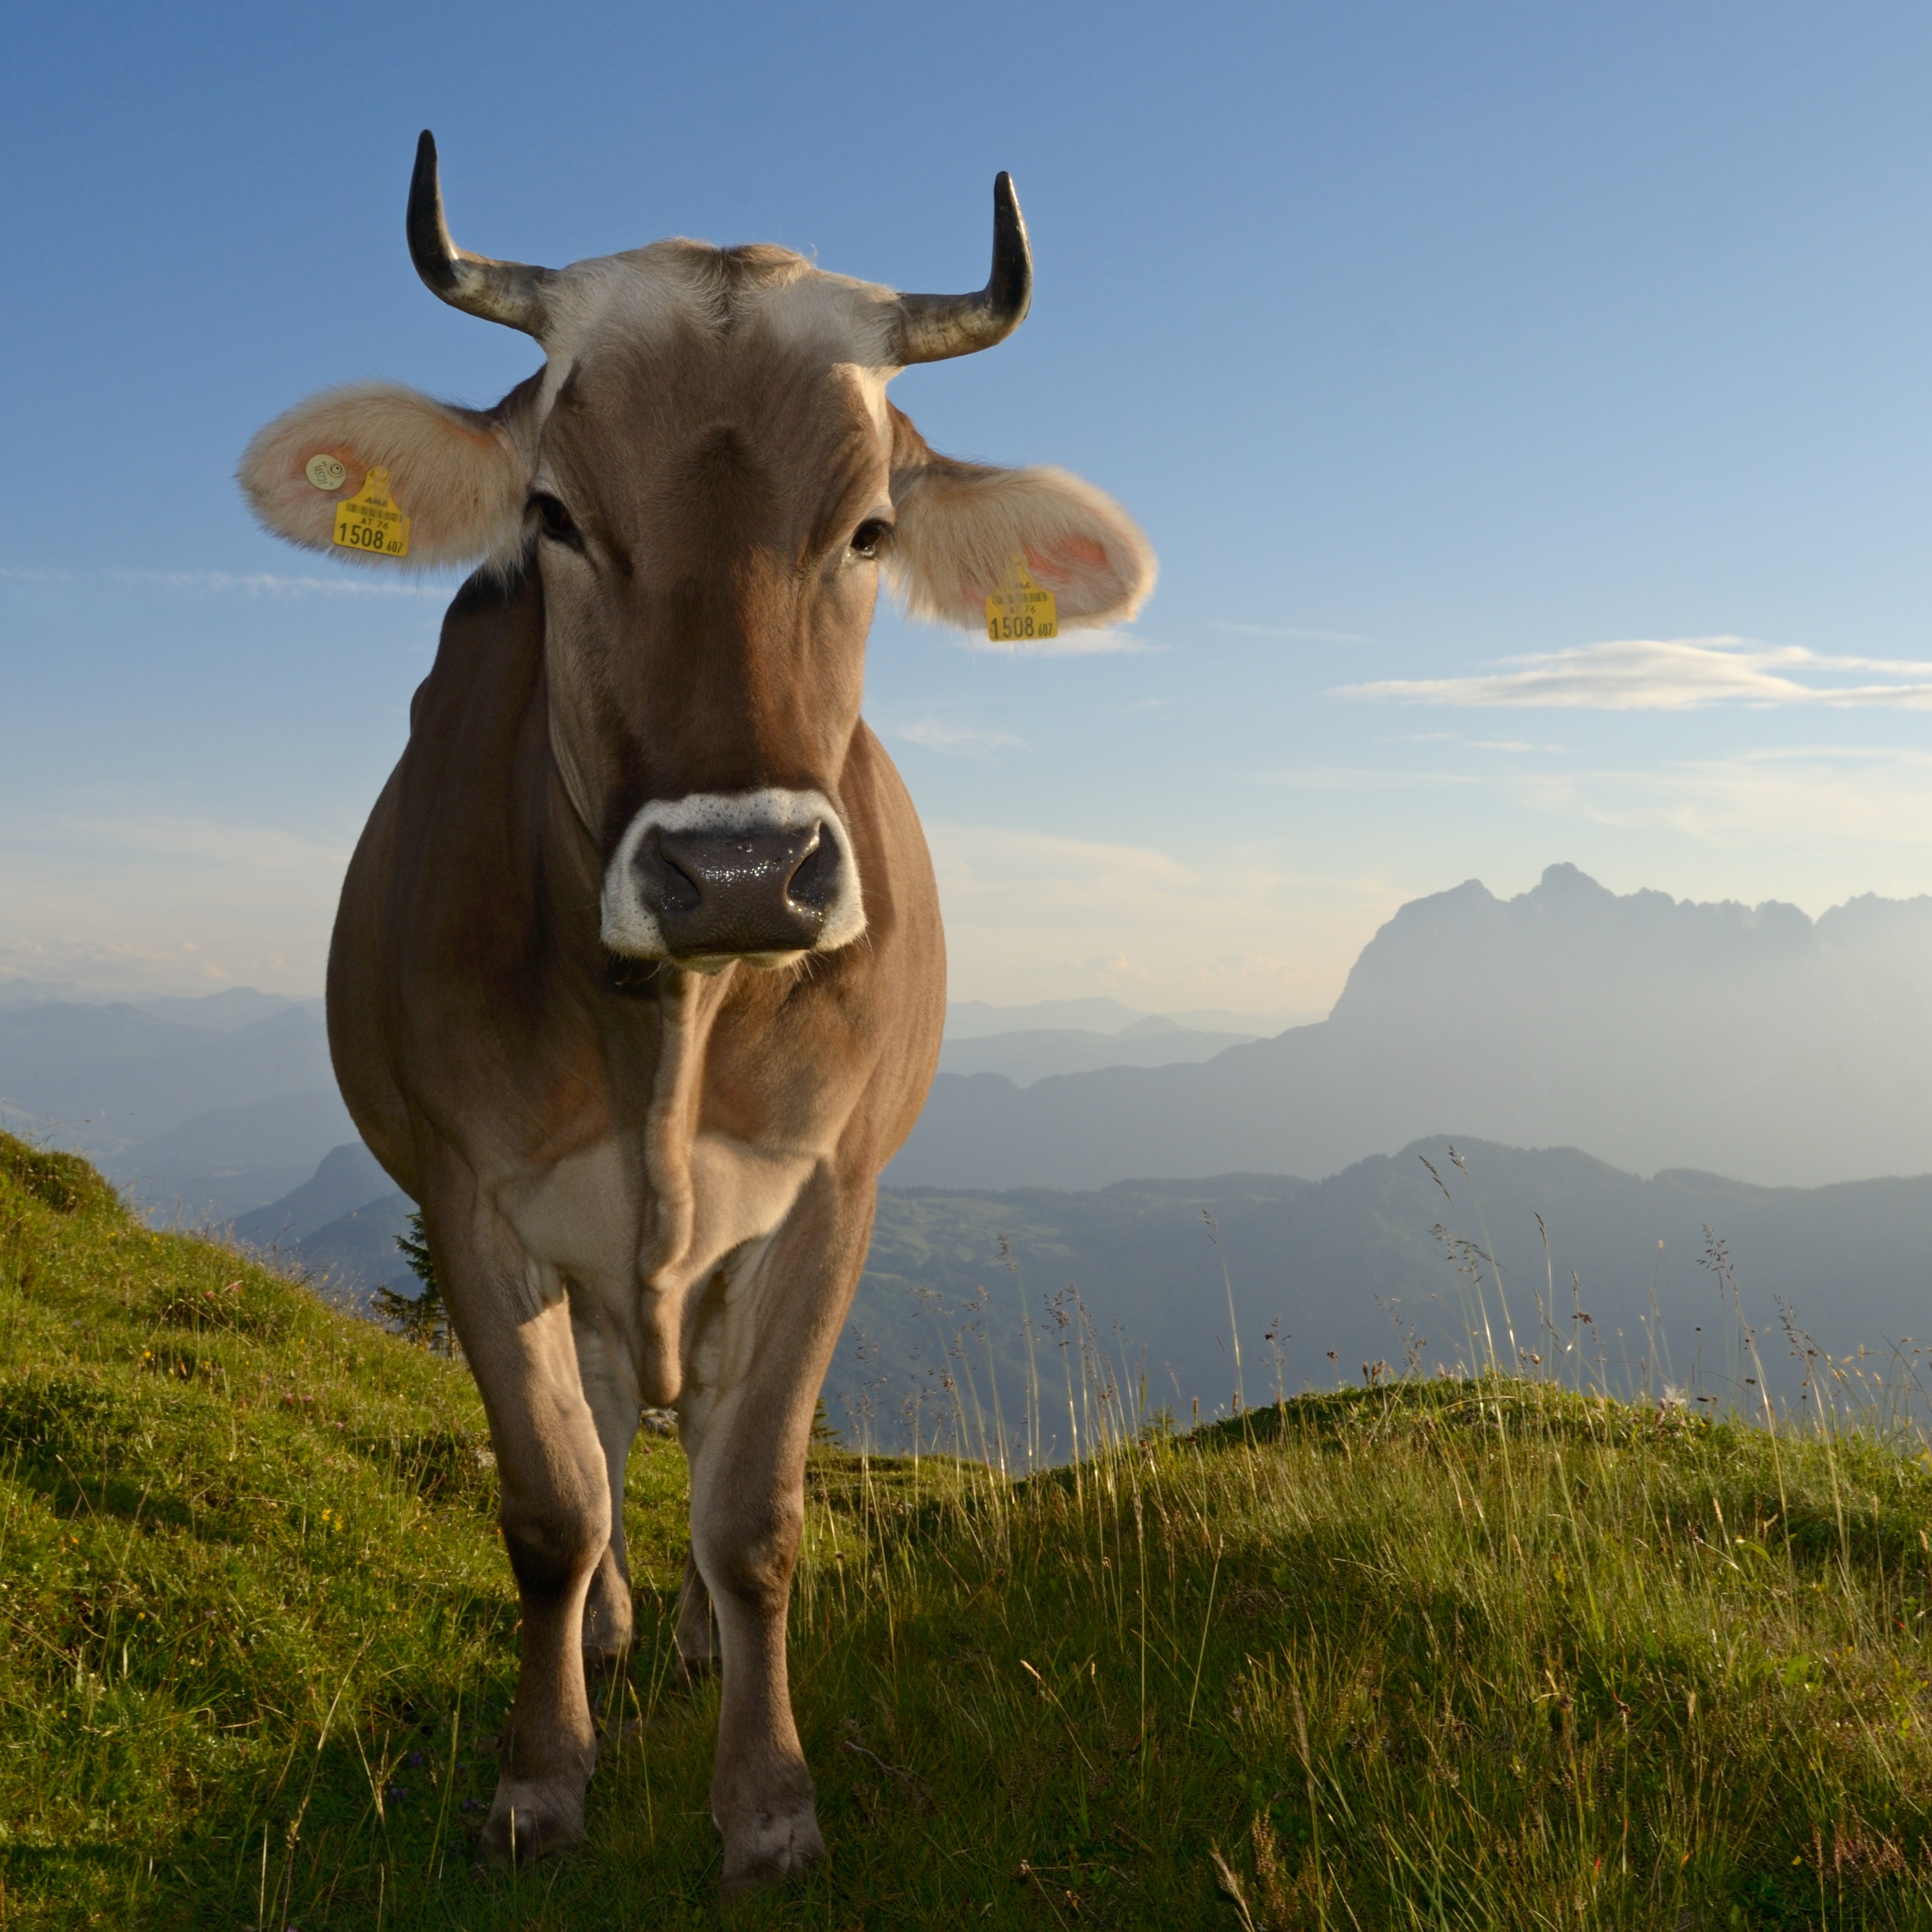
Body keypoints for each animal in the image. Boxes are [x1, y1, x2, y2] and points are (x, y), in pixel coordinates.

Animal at [239, 132, 1154, 1889]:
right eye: (553, 515)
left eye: (868, 529)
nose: (739, 869)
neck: (672, 1026)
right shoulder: (469, 1195)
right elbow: (549, 1499)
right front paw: (541, 1778)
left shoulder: (830, 1194)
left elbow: (756, 1511)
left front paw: (770, 1797)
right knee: (604, 1426)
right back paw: (608, 1631)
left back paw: (692, 1642)